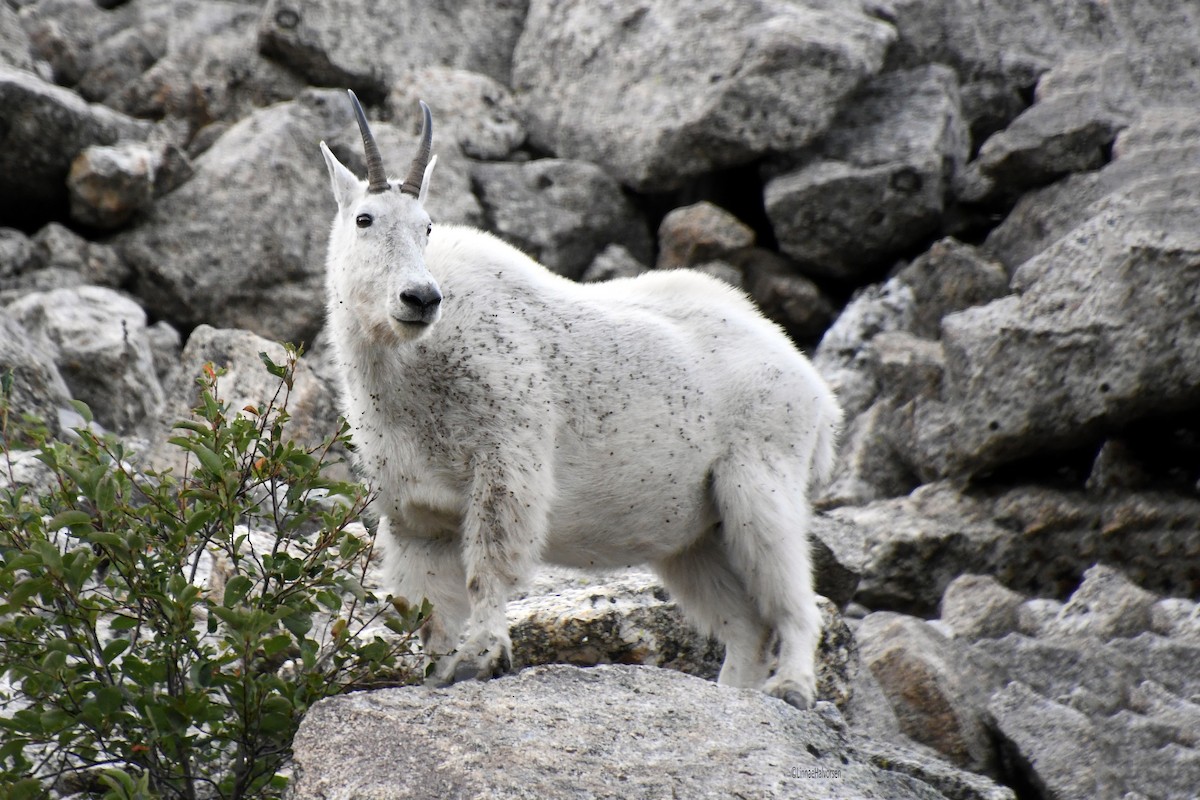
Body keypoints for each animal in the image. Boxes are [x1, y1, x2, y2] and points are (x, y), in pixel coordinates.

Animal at [319, 91, 842, 707]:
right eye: (364, 218)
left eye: (426, 227)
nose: (420, 298)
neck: (408, 369)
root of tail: (815, 387)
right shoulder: (414, 508)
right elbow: (429, 607)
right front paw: (441, 672)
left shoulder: (507, 459)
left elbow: (488, 567)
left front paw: (481, 658)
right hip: (695, 534)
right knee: (745, 623)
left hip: (762, 478)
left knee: (793, 595)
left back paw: (793, 687)